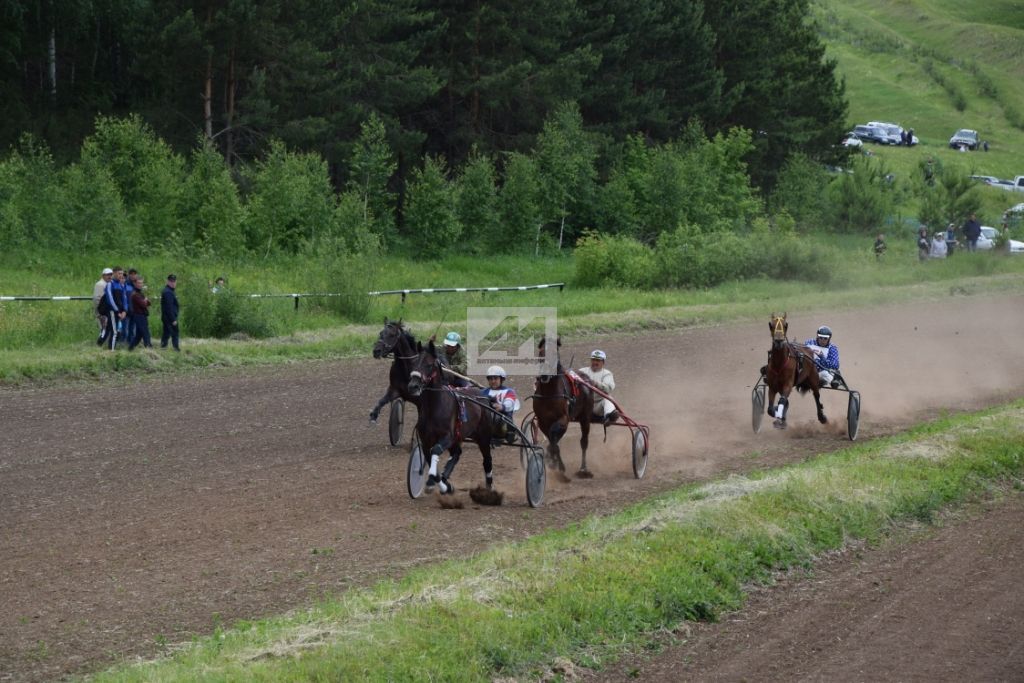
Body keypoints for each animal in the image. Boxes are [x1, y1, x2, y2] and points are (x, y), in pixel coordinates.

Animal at [407, 342, 495, 497]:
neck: (434, 407)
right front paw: (442, 484)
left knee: (487, 459)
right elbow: (431, 459)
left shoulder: (447, 436)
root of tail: (482, 395)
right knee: (456, 454)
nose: (413, 386)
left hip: (483, 436)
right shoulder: (425, 441)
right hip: (458, 438)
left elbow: (435, 451)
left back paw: (489, 487)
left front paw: (433, 480)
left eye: (429, 364)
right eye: (414, 363)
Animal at [532, 335, 598, 475]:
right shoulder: (542, 421)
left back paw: (583, 468)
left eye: (555, 353)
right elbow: (553, 441)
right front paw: (554, 463)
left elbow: (554, 439)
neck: (548, 394)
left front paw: (558, 465)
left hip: (585, 418)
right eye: (541, 352)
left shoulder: (563, 419)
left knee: (584, 441)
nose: (544, 374)